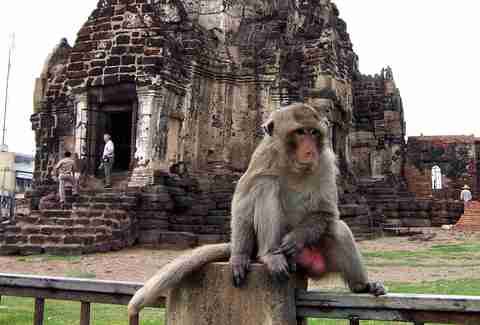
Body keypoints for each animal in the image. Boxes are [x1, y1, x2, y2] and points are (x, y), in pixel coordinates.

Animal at [129, 103, 388, 314]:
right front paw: (239, 257)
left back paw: (362, 286)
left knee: (337, 229)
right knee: (265, 185)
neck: (293, 163)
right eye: (300, 132)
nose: (310, 148)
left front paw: (295, 239)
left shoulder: (326, 161)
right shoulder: (262, 155)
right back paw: (269, 255)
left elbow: (327, 213)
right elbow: (242, 201)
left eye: (314, 132)